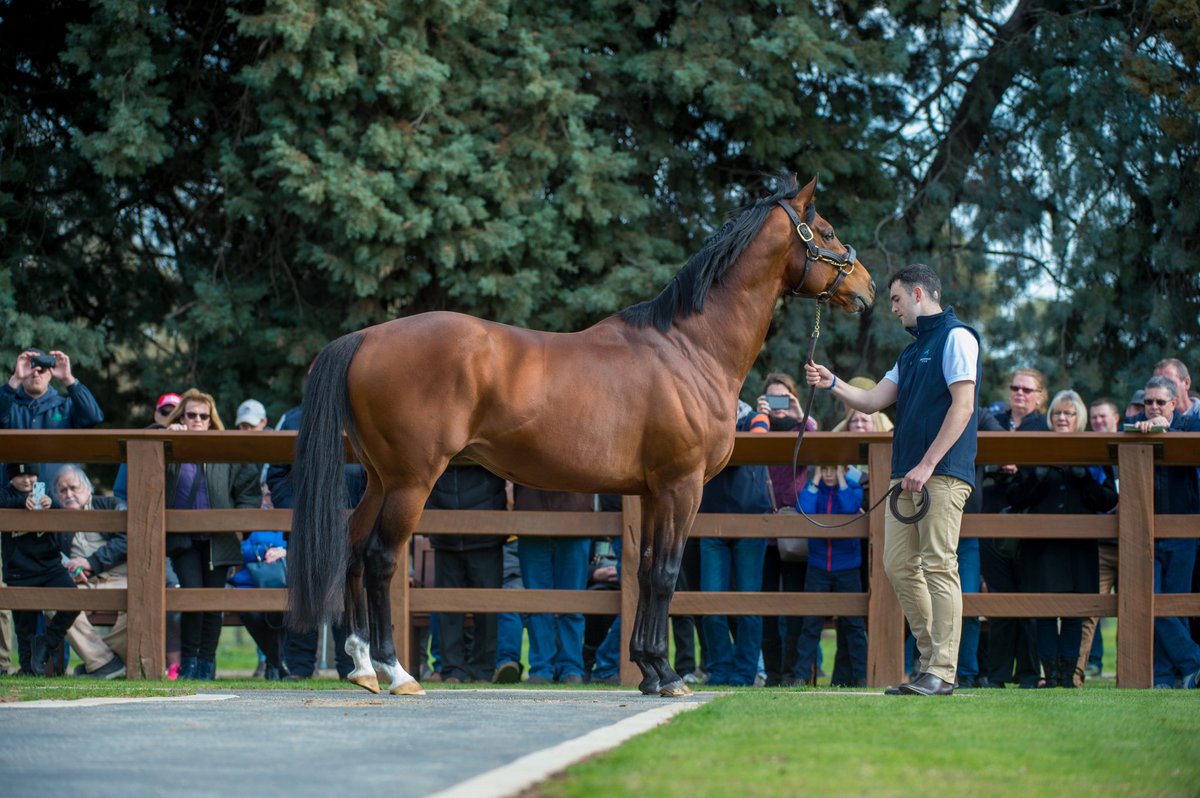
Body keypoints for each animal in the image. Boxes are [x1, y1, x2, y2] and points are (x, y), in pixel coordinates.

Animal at [287, 174, 875, 697]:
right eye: (825, 231)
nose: (867, 287)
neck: (690, 347)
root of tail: (366, 337)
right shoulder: (682, 486)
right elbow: (666, 573)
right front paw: (668, 677)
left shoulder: (653, 492)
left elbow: (644, 570)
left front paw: (649, 669)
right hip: (411, 482)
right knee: (381, 558)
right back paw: (397, 673)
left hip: (380, 479)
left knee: (354, 550)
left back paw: (362, 666)